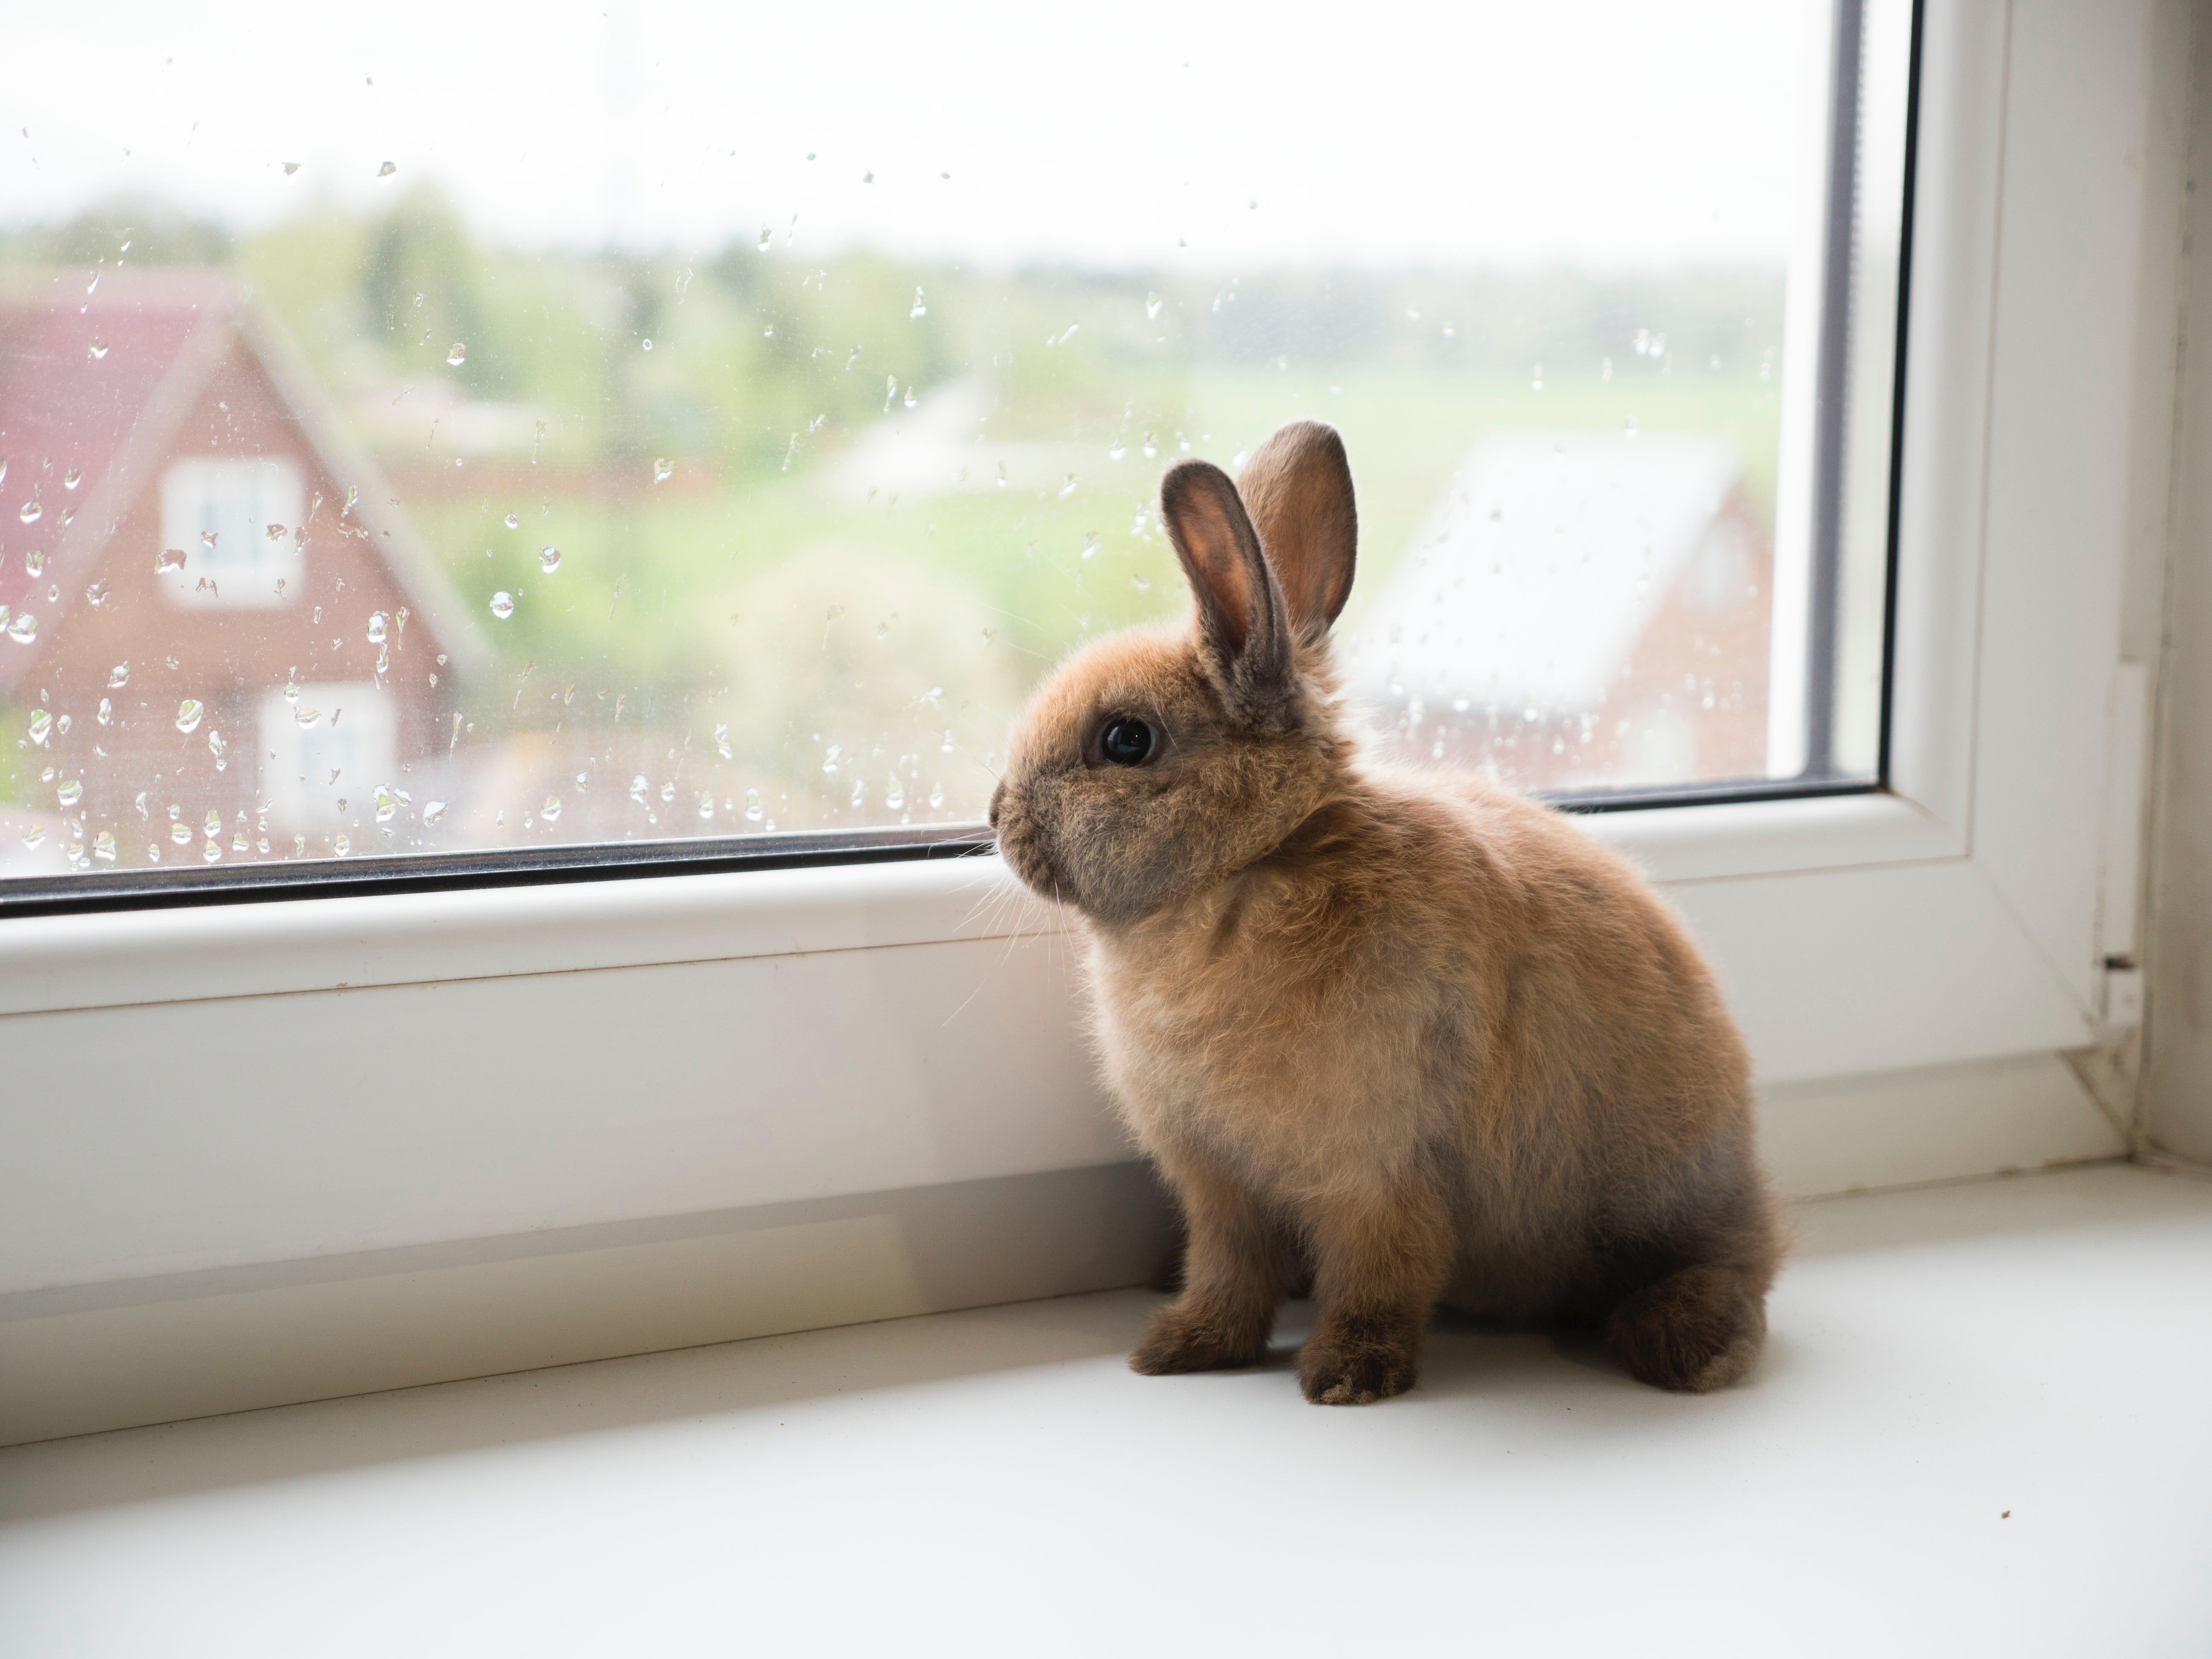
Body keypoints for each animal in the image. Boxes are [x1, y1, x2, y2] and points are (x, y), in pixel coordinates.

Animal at [995, 422, 1787, 1407]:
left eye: (1126, 740)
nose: (996, 817)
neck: (1253, 865)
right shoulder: (1220, 1188)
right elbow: (1228, 1273)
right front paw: (1181, 1348)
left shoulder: (1378, 1173)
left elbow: (1383, 1274)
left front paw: (1345, 1376)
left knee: (1735, 1270)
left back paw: (1687, 1345)